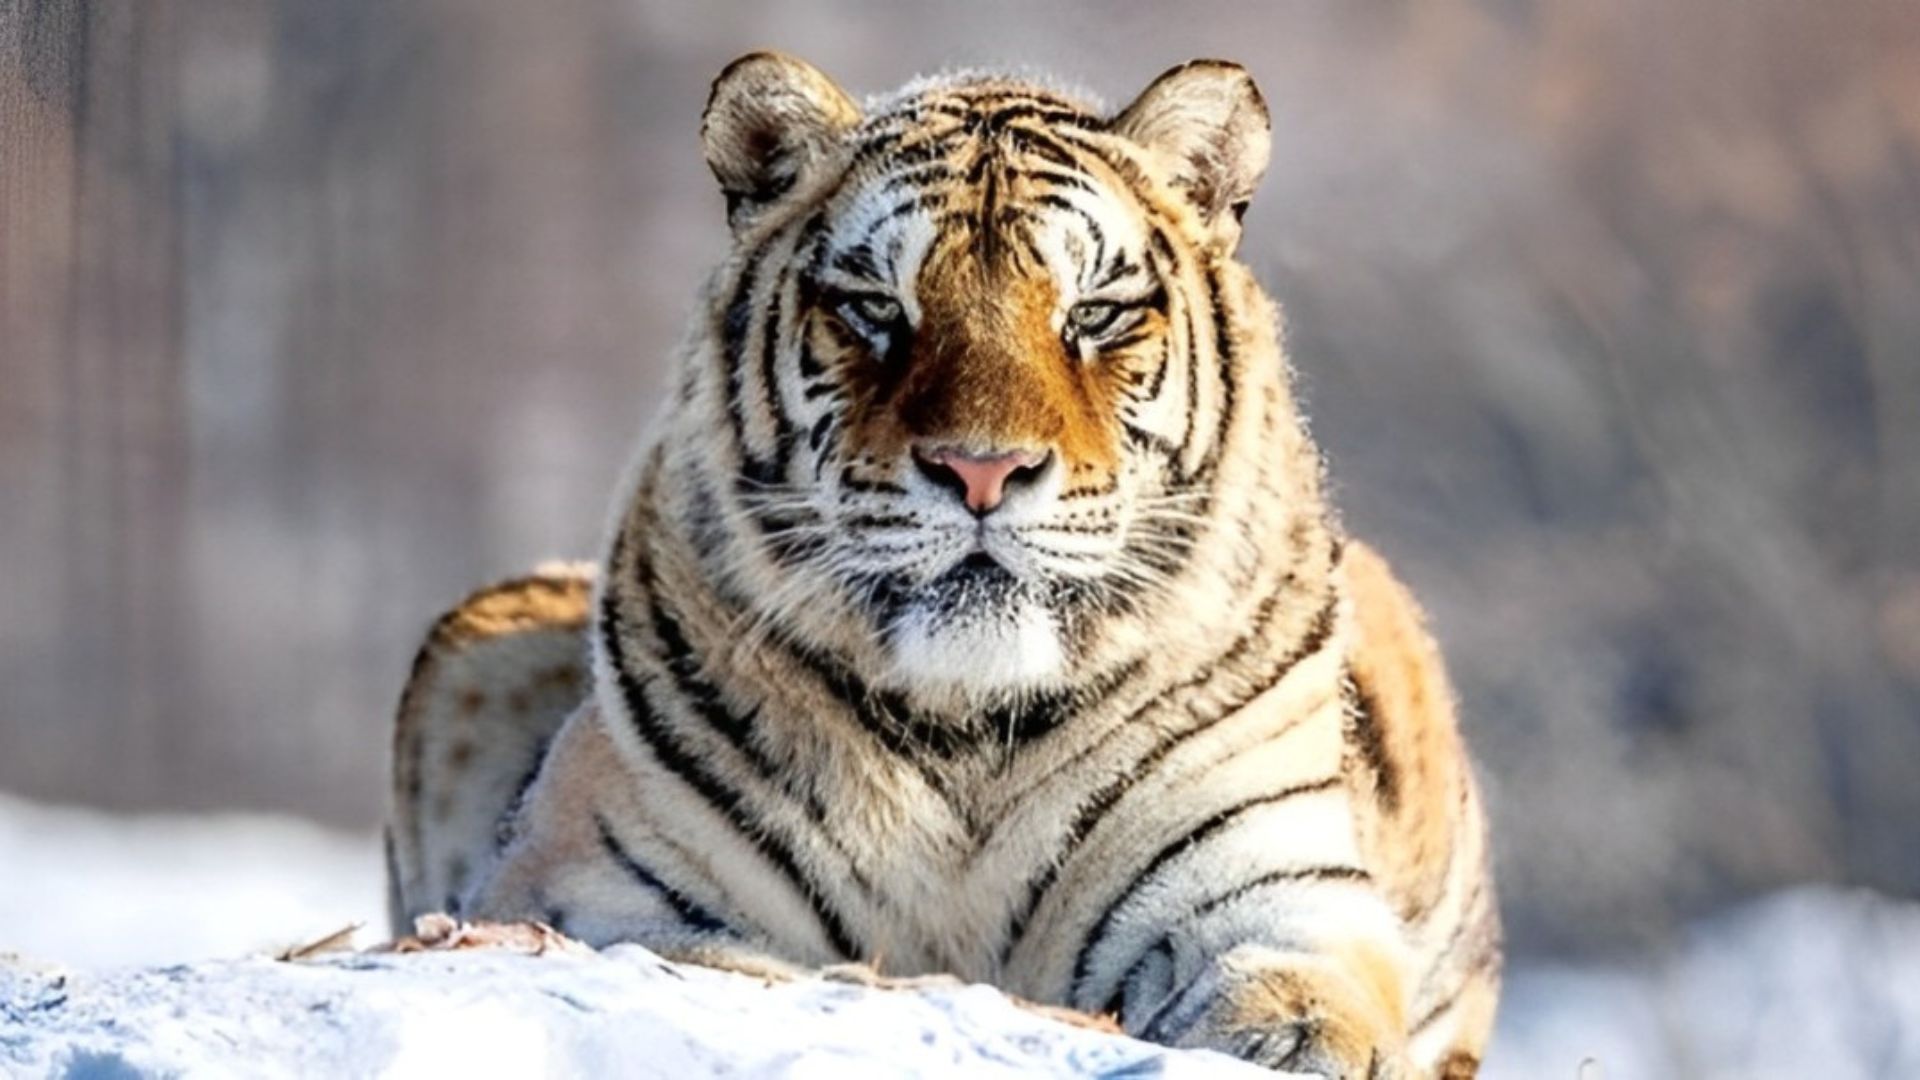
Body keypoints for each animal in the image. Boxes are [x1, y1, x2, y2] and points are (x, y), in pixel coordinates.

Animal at [387, 53, 1501, 1077]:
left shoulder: (1273, 891)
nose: (981, 469)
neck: (972, 733)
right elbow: (724, 964)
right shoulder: (597, 885)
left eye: (1093, 315)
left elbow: (1303, 1002)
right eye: (878, 309)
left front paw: (1286, 1039)